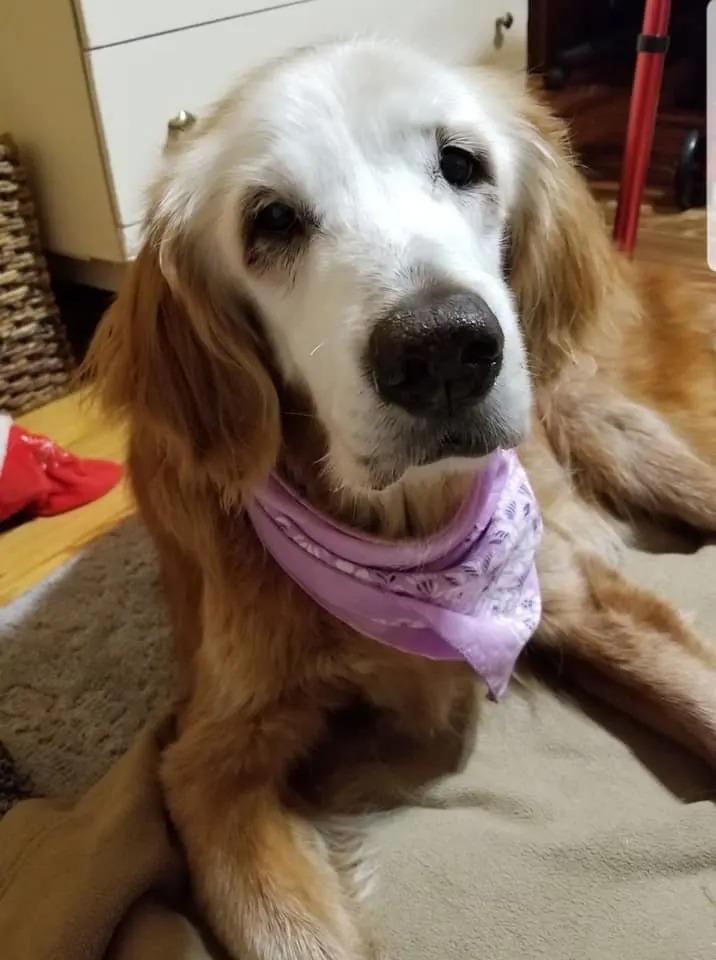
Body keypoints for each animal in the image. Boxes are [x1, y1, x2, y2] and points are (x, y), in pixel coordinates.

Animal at [88, 41, 716, 960]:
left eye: (460, 163)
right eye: (270, 220)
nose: (445, 349)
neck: (410, 533)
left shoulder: (577, 597)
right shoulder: (210, 761)